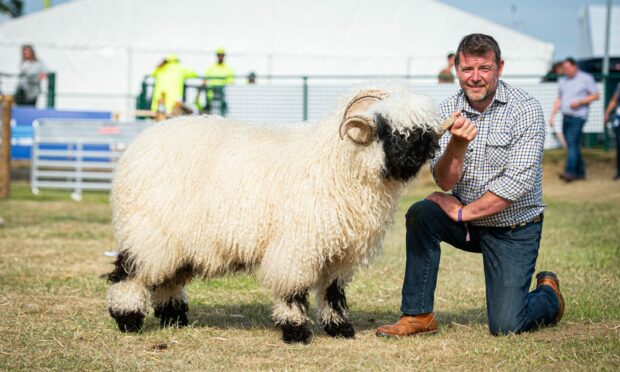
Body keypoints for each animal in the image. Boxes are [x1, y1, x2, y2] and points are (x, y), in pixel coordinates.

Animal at [106, 85, 446, 344]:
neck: (336, 163)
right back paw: (128, 320)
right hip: (149, 229)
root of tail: (138, 146)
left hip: (180, 241)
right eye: (386, 129)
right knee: (129, 272)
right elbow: (292, 289)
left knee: (168, 278)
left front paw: (340, 328)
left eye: (422, 131)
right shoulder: (296, 245)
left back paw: (174, 318)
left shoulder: (340, 252)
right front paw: (296, 331)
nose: (415, 157)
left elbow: (333, 292)